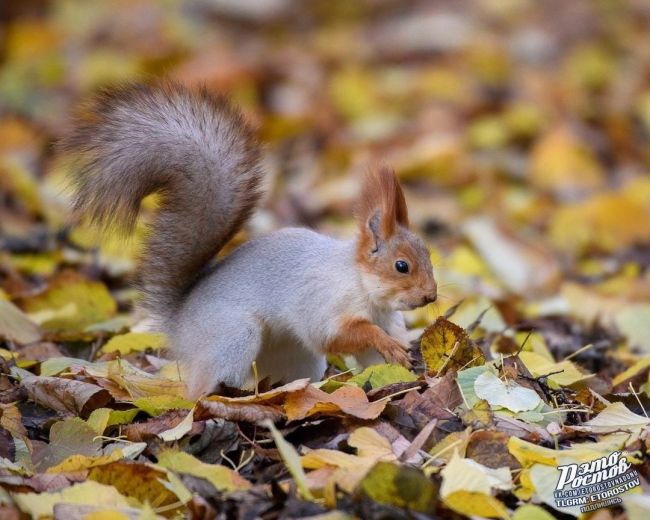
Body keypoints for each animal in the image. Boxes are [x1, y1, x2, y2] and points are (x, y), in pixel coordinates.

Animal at [62, 81, 436, 398]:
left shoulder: (387, 317)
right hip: (234, 337)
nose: (431, 296)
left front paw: (403, 361)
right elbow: (333, 334)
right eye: (401, 266)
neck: (360, 282)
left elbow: (376, 354)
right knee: (198, 390)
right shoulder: (322, 301)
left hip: (292, 353)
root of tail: (178, 321)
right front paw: (386, 345)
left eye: (429, 256)